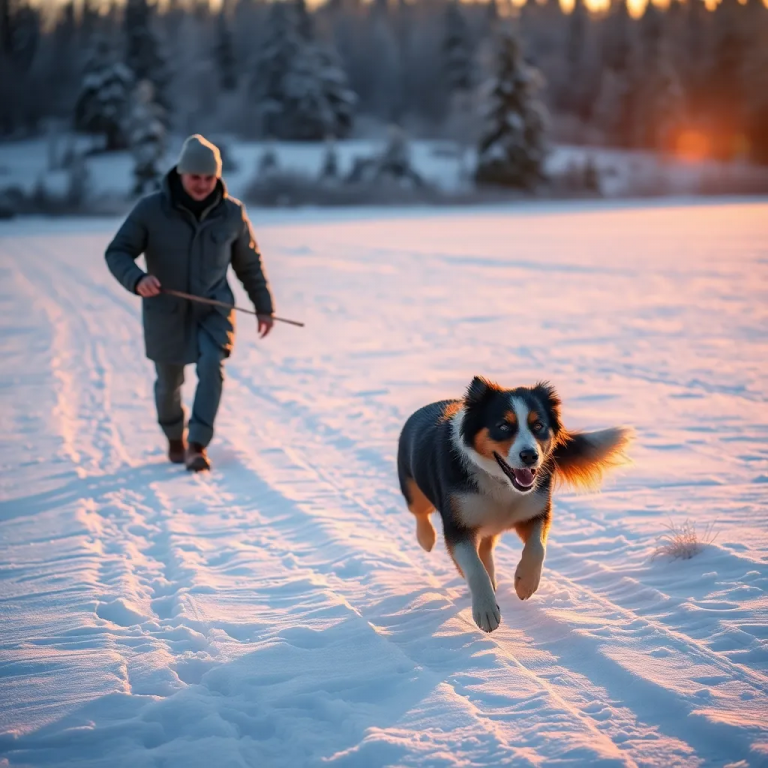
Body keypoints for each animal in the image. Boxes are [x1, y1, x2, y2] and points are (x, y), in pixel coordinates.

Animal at [396, 378, 632, 636]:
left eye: (538, 425)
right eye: (503, 426)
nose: (530, 455)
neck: (501, 483)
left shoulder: (534, 510)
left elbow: (537, 547)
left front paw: (525, 583)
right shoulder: (458, 525)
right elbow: (474, 568)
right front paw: (486, 610)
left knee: (486, 544)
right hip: (412, 488)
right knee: (420, 512)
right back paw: (426, 538)